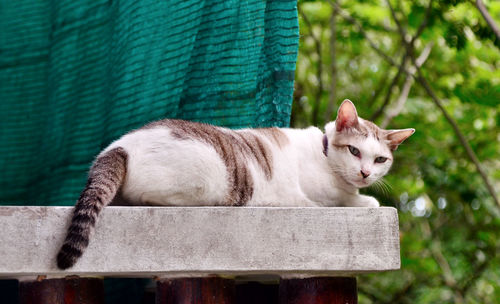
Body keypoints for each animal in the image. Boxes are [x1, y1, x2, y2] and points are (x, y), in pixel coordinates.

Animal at [56, 99, 414, 268]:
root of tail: (120, 147)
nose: (365, 173)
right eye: (354, 151)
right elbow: (349, 200)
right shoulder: (322, 195)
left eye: (380, 160)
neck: (324, 153)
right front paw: (366, 200)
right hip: (207, 177)